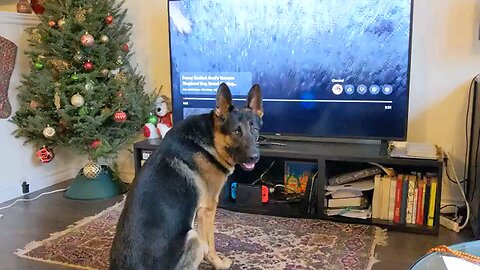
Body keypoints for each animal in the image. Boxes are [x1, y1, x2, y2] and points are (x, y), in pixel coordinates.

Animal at [109, 83, 262, 268]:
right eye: (236, 132)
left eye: (255, 130)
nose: (255, 157)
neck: (211, 137)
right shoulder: (208, 209)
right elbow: (211, 245)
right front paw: (219, 264)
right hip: (194, 237)